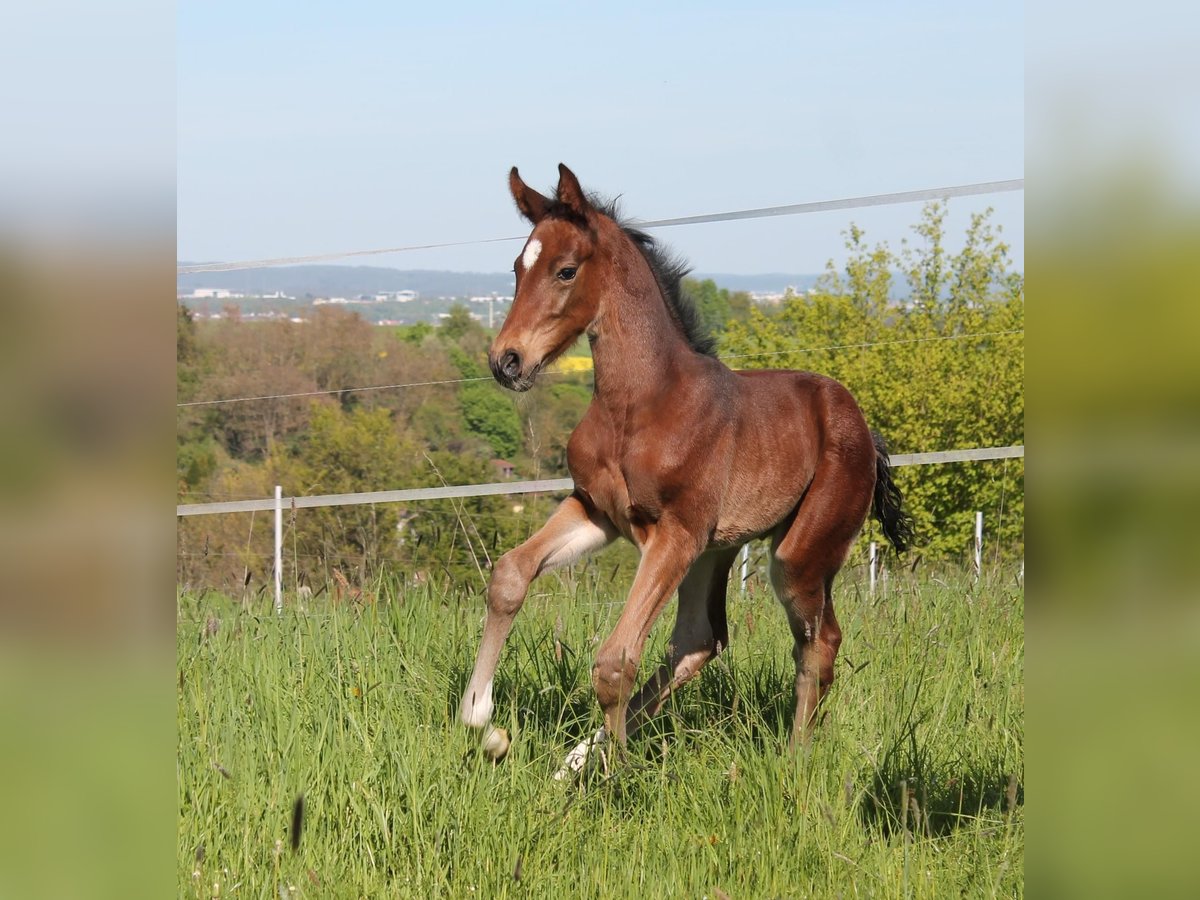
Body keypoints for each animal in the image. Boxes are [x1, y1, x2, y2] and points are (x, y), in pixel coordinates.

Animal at [458, 165, 907, 777]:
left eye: (566, 270)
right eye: (516, 268)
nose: (507, 362)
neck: (639, 405)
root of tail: (866, 431)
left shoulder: (675, 531)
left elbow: (615, 658)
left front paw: (617, 776)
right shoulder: (596, 511)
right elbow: (509, 575)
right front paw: (478, 714)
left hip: (795, 554)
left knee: (819, 642)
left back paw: (792, 758)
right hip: (716, 548)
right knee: (700, 638)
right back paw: (572, 761)